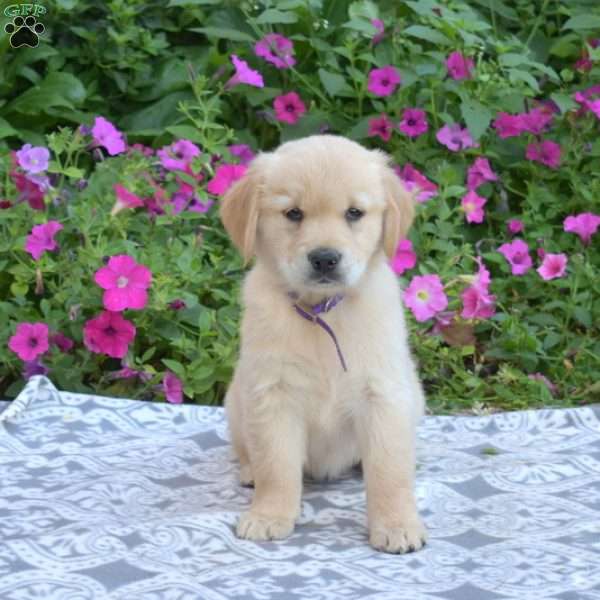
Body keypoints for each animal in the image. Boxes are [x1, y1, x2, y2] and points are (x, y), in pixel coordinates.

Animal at [220, 134, 426, 552]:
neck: (322, 313)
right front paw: (269, 515)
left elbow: (389, 470)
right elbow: (277, 466)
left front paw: (397, 525)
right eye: (293, 214)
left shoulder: (384, 394)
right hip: (235, 402)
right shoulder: (272, 393)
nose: (325, 259)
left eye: (354, 213)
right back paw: (249, 473)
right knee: (248, 451)